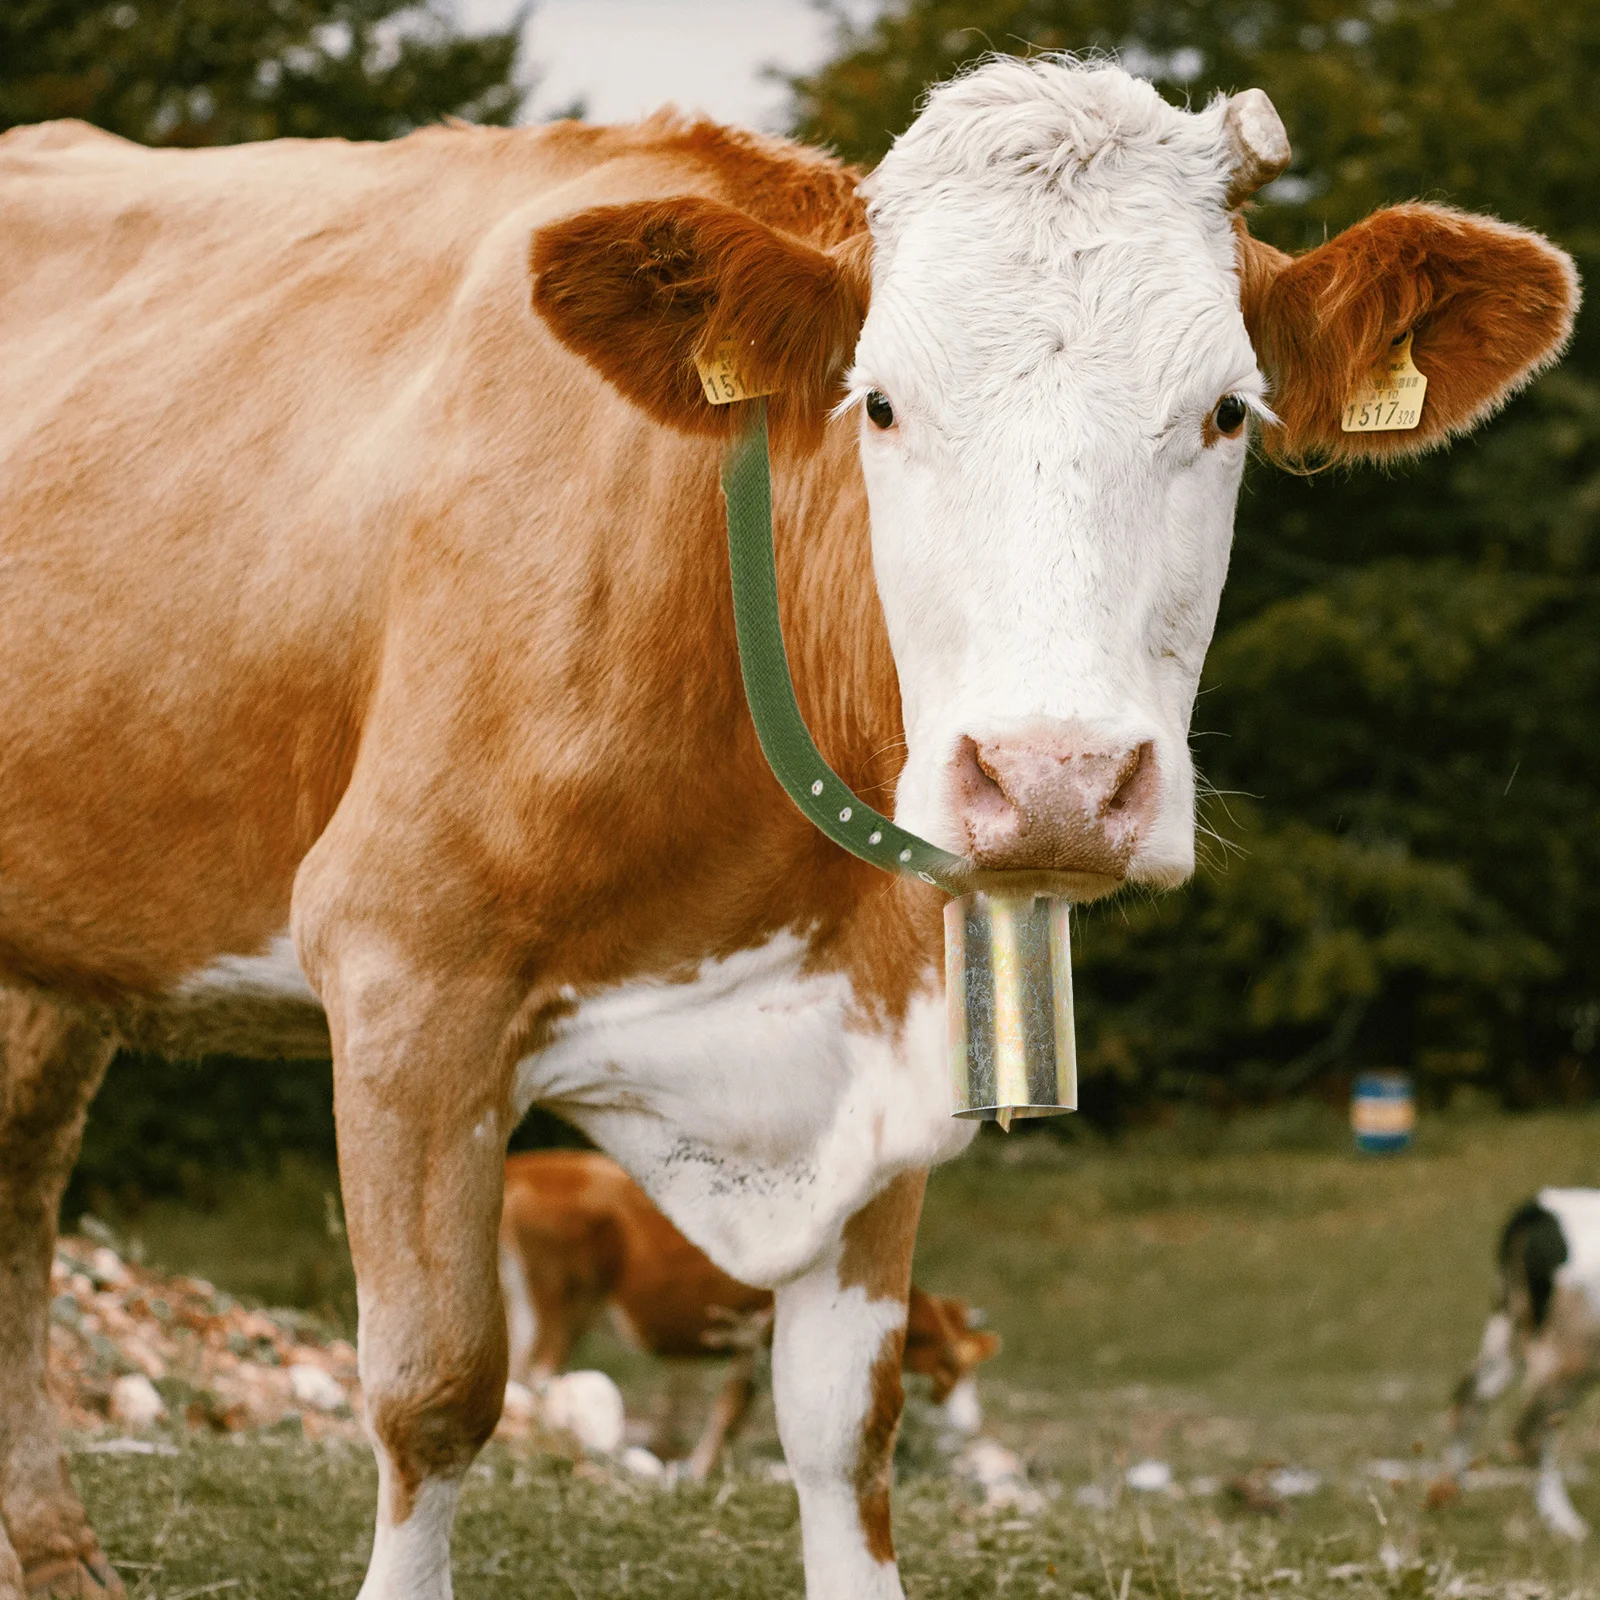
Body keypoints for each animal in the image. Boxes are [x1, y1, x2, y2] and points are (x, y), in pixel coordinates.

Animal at [499, 1150, 999, 1477]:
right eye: (952, 1366)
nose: (971, 1424)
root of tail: (522, 1167)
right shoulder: (761, 1336)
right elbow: (735, 1410)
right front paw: (697, 1473)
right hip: (561, 1304)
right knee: (539, 1376)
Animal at [1445, 1191, 1600, 1539]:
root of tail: (1536, 1208)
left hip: (1506, 1328)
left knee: (1470, 1397)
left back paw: (1450, 1494)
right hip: (1571, 1352)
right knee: (1531, 1432)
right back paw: (1566, 1525)